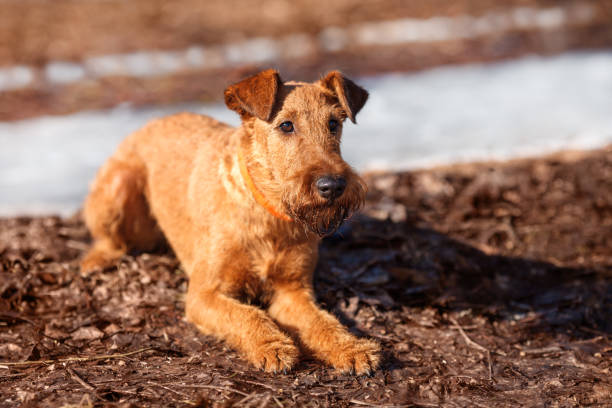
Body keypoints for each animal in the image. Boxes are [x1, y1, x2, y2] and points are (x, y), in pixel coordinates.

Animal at [80, 68, 378, 374]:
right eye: (286, 125)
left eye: (333, 123)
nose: (332, 186)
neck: (267, 213)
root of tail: (149, 123)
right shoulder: (204, 294)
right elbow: (246, 315)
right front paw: (271, 346)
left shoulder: (292, 291)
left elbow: (322, 321)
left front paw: (351, 348)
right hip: (117, 187)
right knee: (109, 239)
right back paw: (95, 261)